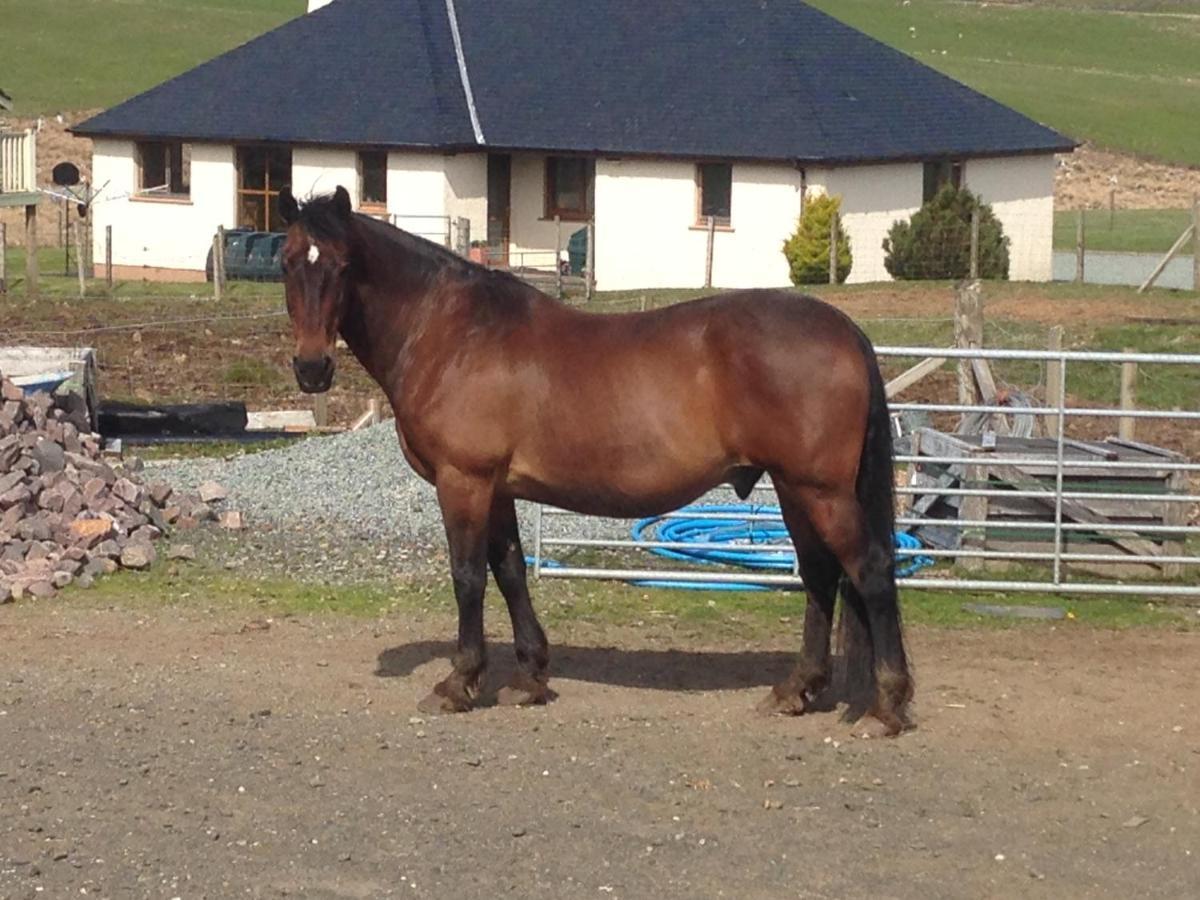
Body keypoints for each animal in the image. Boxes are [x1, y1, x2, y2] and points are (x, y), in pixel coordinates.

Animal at [276, 187, 912, 734]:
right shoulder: (498, 488)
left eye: (341, 265)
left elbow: (468, 578)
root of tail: (844, 328)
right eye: (286, 263)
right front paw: (529, 677)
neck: (451, 332)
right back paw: (796, 689)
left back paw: (887, 705)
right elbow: (510, 571)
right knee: (820, 575)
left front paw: (459, 683)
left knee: (869, 570)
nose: (311, 368)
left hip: (820, 489)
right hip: (792, 487)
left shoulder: (464, 482)